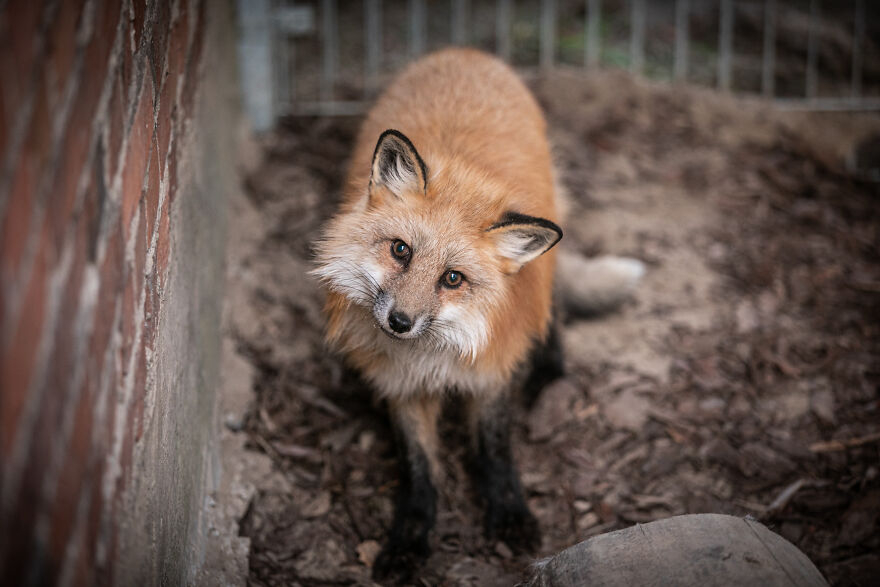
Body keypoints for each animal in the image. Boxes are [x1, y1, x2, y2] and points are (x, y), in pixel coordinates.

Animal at [312, 48, 643, 579]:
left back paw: (549, 369)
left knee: (552, 306)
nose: (399, 322)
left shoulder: (491, 372)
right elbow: (419, 469)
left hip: (545, 253)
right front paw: (409, 539)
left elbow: (494, 448)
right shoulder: (401, 387)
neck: (433, 355)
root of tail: (465, 52)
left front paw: (509, 514)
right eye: (400, 250)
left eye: (453, 278)